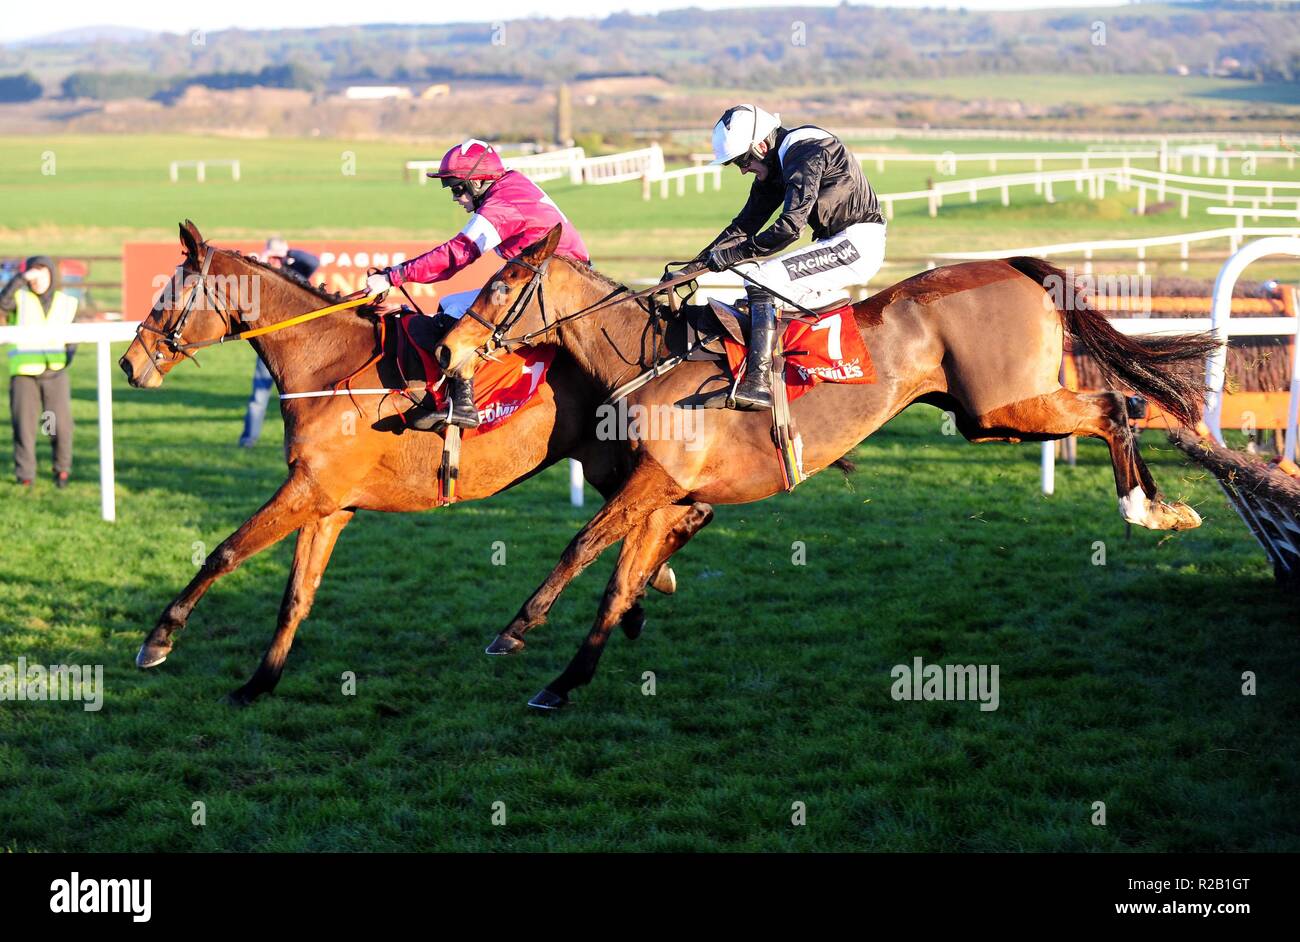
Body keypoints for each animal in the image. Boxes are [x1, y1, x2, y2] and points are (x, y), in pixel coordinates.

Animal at [119, 222, 712, 706]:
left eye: (169, 293)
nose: (129, 363)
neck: (328, 363)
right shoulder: (328, 504)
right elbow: (296, 597)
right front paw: (259, 682)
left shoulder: (309, 489)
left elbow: (224, 553)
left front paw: (158, 640)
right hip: (618, 468)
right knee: (679, 516)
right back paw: (644, 592)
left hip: (630, 466)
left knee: (672, 515)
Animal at [434, 222, 1216, 706]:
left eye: (501, 285)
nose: (447, 349)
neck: (650, 359)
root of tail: (1014, 264)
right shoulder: (663, 494)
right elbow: (618, 584)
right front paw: (566, 680)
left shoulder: (654, 484)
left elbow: (579, 550)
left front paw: (515, 631)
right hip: (988, 417)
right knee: (1124, 405)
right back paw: (1163, 502)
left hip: (1005, 405)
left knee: (1115, 406)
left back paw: (1147, 507)